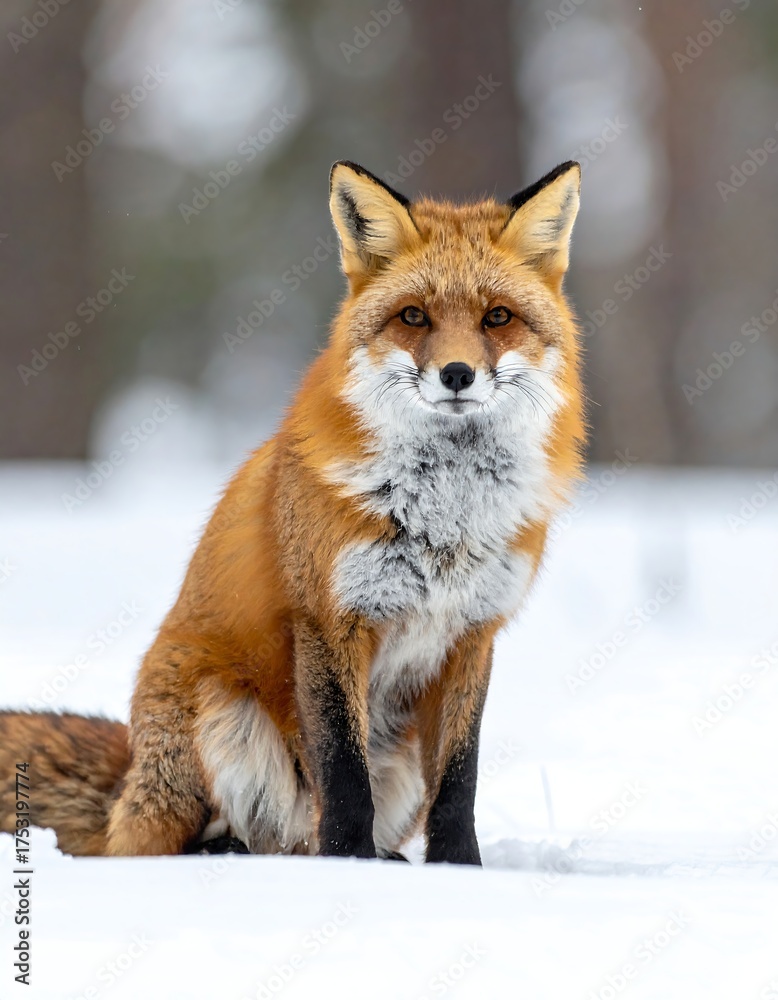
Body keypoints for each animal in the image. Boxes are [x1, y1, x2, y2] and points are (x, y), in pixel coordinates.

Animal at [0, 159, 585, 864]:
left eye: (497, 317)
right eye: (413, 316)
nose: (457, 374)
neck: (444, 515)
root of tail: (129, 773)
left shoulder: (472, 634)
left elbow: (460, 780)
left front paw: (459, 869)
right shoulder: (330, 620)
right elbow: (343, 770)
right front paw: (349, 863)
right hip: (219, 713)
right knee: (181, 841)